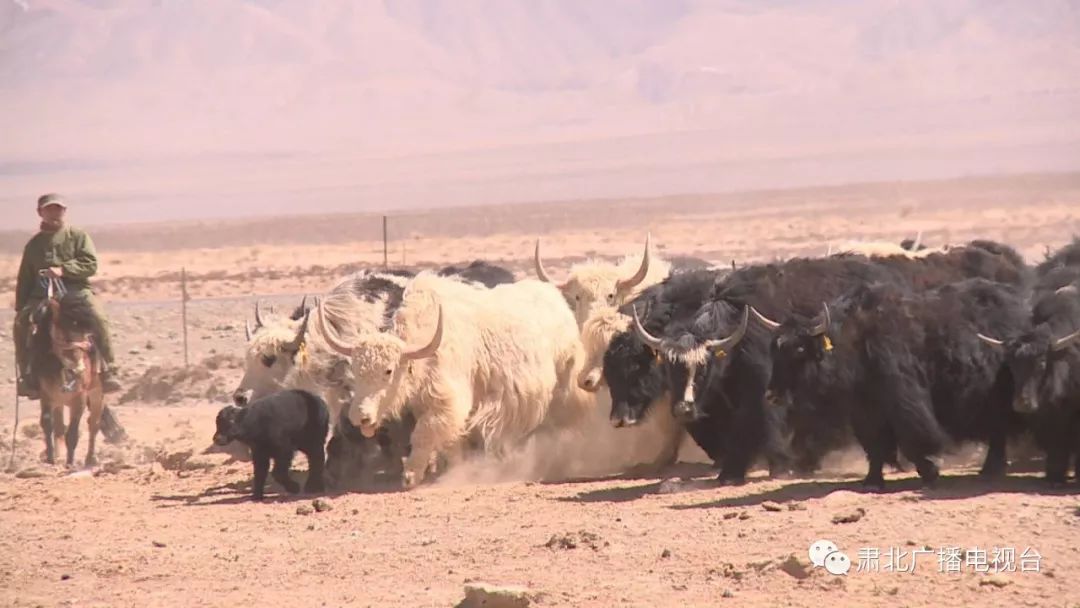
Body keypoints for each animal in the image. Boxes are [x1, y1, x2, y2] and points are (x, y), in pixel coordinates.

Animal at [28, 278, 104, 468]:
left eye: (85, 332)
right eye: (65, 332)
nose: (79, 369)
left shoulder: (79, 400)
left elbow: (73, 432)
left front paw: (70, 463)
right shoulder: (46, 396)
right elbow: (47, 423)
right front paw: (51, 458)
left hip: (97, 394)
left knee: (94, 424)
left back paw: (90, 459)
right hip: (59, 401)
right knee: (59, 426)